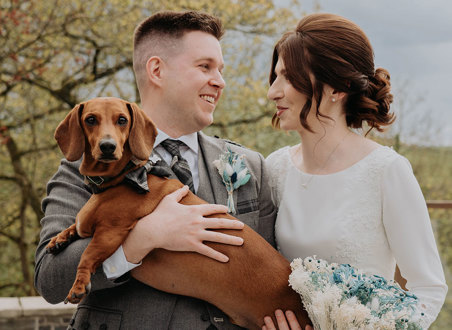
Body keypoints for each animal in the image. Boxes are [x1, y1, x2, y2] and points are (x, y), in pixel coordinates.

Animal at [46, 96, 310, 328]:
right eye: (90, 119)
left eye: (122, 120)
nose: (108, 147)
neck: (124, 178)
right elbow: (74, 227)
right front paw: (59, 238)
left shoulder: (111, 232)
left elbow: (87, 254)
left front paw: (79, 284)